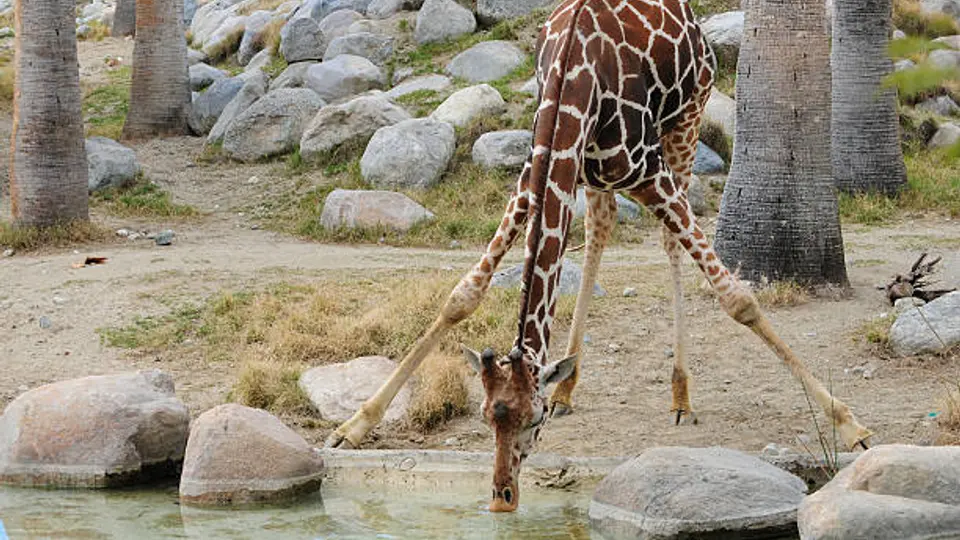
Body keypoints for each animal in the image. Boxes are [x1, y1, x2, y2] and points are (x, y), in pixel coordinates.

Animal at [326, 0, 874, 512]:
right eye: (485, 416)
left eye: (533, 417)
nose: (502, 496)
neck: (575, 78)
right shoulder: (536, 176)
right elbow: (462, 296)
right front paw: (352, 427)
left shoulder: (648, 171)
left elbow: (737, 298)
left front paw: (852, 426)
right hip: (594, 178)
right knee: (601, 227)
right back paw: (571, 386)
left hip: (686, 121)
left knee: (667, 241)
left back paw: (680, 394)